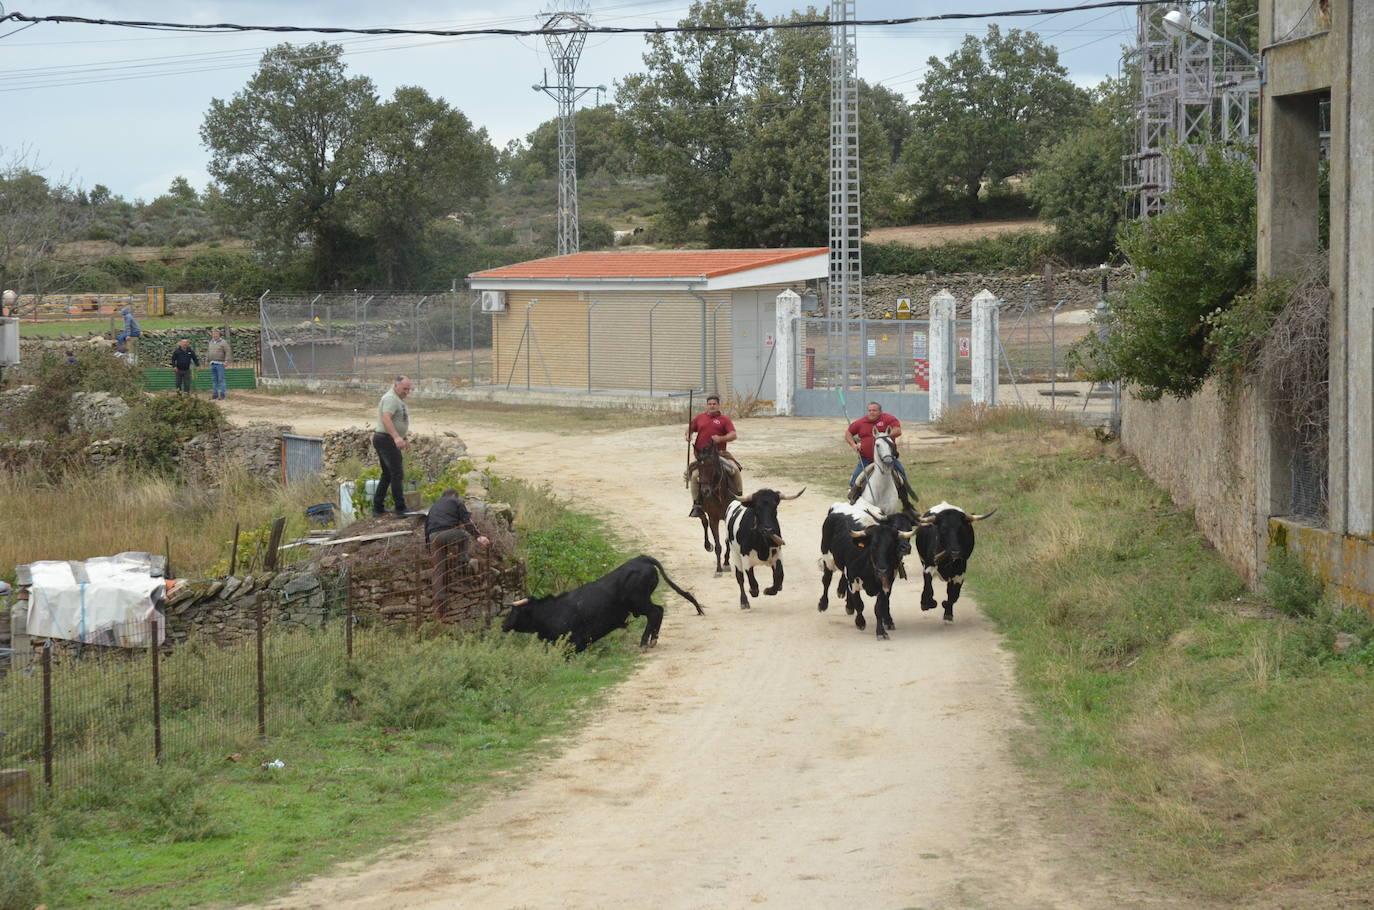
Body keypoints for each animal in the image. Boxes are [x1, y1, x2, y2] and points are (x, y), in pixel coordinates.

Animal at [500, 552, 703, 651]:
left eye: (514, 612)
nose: (503, 625)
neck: (551, 611)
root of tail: (642, 559)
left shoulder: (572, 642)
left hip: (639, 602)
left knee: (655, 612)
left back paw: (645, 643)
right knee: (659, 611)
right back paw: (653, 640)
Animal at [697, 445, 741, 574]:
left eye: (711, 465)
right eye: (698, 466)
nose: (705, 491)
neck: (720, 494)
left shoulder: (728, 518)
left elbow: (727, 541)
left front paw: (726, 562)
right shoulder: (713, 519)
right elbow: (717, 543)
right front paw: (719, 568)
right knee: (704, 523)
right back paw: (707, 545)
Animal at [818, 505, 917, 640]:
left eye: (891, 546)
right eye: (873, 545)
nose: (906, 548)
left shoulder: (887, 583)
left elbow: (880, 607)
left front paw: (881, 631)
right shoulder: (853, 580)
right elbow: (859, 604)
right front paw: (860, 622)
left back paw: (848, 606)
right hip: (828, 558)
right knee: (826, 580)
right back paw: (823, 604)